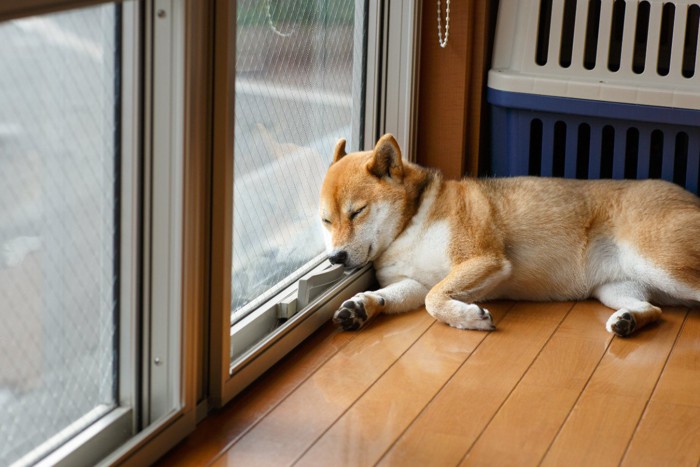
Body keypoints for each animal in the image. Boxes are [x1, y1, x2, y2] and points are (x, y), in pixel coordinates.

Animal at [320, 134, 700, 336]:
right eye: (326, 221)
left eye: (357, 212)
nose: (335, 257)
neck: (412, 222)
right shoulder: (414, 281)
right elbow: (398, 295)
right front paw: (360, 305)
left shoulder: (484, 259)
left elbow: (434, 300)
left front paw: (470, 319)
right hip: (616, 288)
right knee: (653, 309)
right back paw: (628, 321)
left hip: (663, 265)